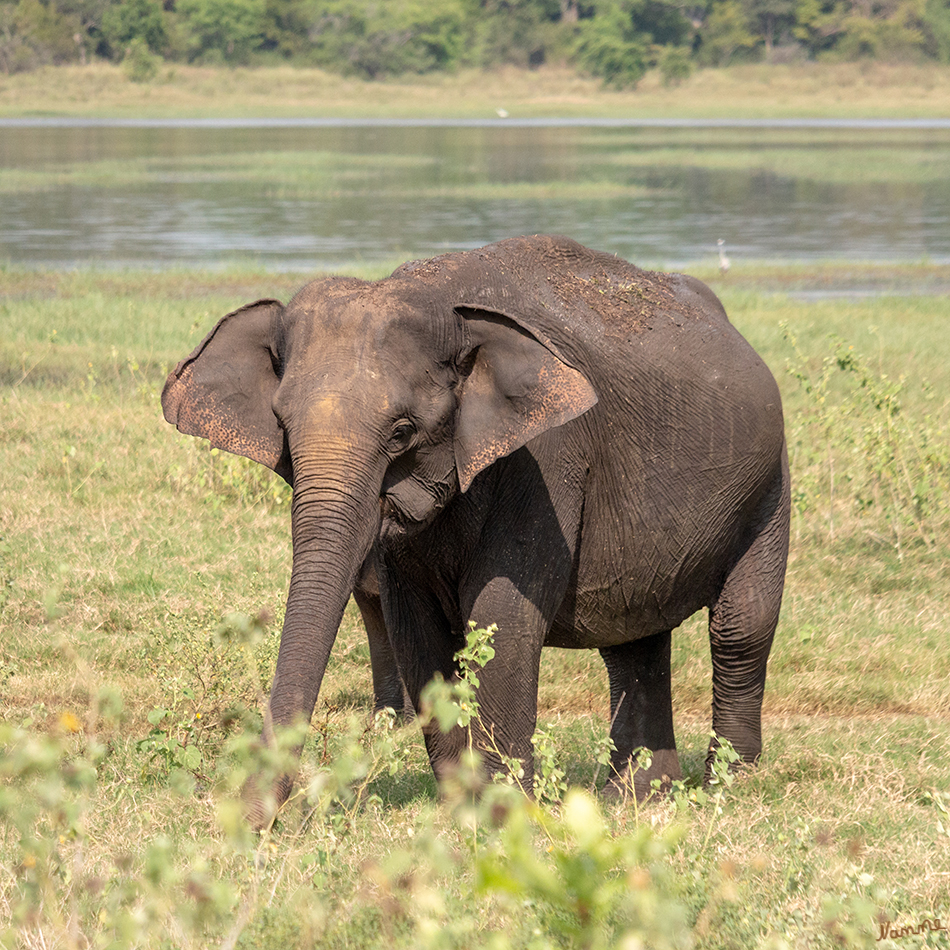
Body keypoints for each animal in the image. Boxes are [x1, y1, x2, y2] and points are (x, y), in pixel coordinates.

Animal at [162, 234, 788, 820]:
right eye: (283, 426)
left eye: (402, 431)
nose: (256, 824)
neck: (440, 301)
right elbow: (416, 629)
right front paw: (462, 806)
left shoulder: (548, 457)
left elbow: (503, 619)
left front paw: (506, 812)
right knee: (633, 640)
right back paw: (635, 797)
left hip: (768, 484)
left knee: (741, 628)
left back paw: (727, 786)